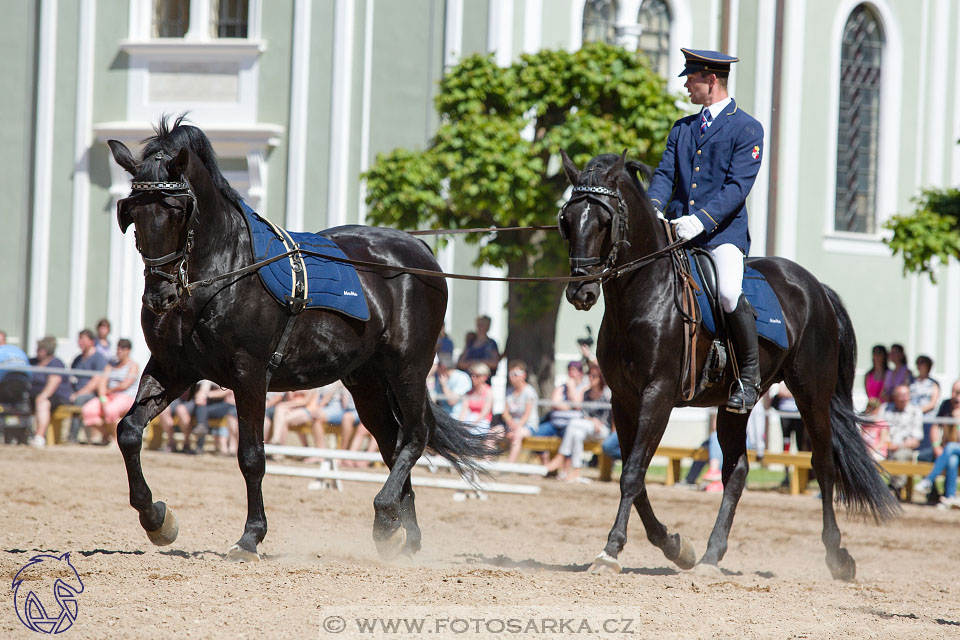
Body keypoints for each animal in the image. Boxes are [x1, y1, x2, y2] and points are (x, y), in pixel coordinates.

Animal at [108, 117, 484, 564]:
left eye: (178, 211)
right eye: (132, 212)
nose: (159, 296)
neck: (222, 270)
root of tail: (420, 249)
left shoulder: (250, 372)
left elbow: (251, 457)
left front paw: (250, 537)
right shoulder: (172, 367)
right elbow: (129, 431)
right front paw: (156, 519)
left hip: (407, 366)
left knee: (415, 435)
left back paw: (385, 514)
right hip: (367, 381)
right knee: (392, 444)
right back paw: (402, 535)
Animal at [556, 152, 900, 584]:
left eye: (605, 221)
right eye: (567, 219)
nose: (581, 292)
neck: (642, 296)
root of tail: (814, 286)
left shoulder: (658, 395)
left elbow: (633, 472)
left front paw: (611, 551)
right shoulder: (624, 400)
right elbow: (636, 478)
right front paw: (675, 545)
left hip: (812, 397)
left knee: (823, 465)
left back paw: (838, 556)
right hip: (735, 406)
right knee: (736, 472)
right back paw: (709, 556)